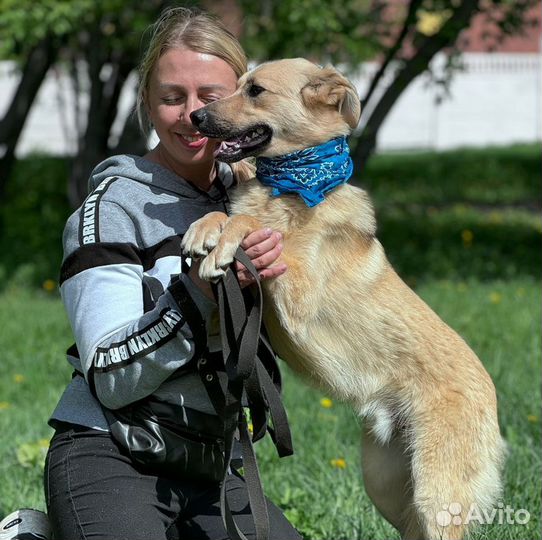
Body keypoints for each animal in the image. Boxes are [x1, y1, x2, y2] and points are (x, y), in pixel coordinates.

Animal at [182, 59, 506, 540]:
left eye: (256, 90)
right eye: (235, 87)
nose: (196, 118)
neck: (292, 184)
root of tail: (493, 397)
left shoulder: (296, 296)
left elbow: (253, 225)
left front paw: (227, 242)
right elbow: (225, 213)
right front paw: (204, 229)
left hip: (435, 497)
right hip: (387, 485)